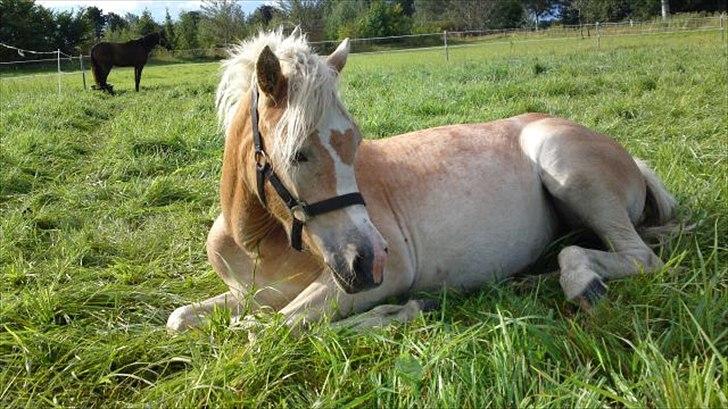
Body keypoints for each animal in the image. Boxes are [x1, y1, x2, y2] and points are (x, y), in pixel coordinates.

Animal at [165, 30, 676, 334]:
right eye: (298, 154)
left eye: (356, 143)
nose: (367, 261)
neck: (256, 242)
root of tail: (630, 158)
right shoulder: (249, 295)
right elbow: (182, 318)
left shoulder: (380, 277)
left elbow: (263, 329)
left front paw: (401, 312)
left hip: (566, 168)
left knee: (638, 256)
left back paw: (583, 283)